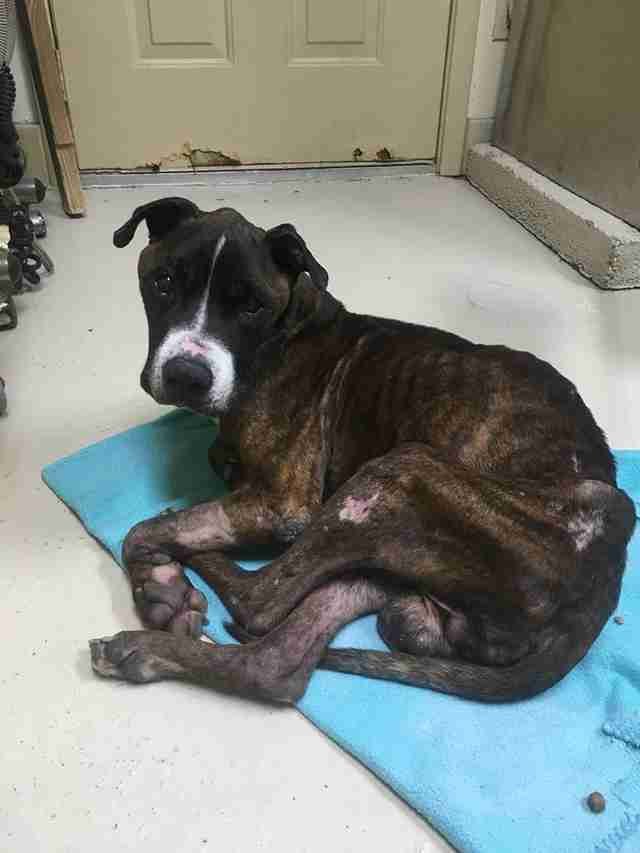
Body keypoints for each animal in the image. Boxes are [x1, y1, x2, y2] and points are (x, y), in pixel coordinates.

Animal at [89, 196, 636, 704]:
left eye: (251, 306)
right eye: (162, 282)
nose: (187, 375)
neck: (286, 332)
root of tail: (608, 576)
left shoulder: (283, 504)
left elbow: (145, 530)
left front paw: (161, 580)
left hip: (395, 473)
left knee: (256, 599)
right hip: (384, 554)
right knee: (278, 660)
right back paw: (144, 650)